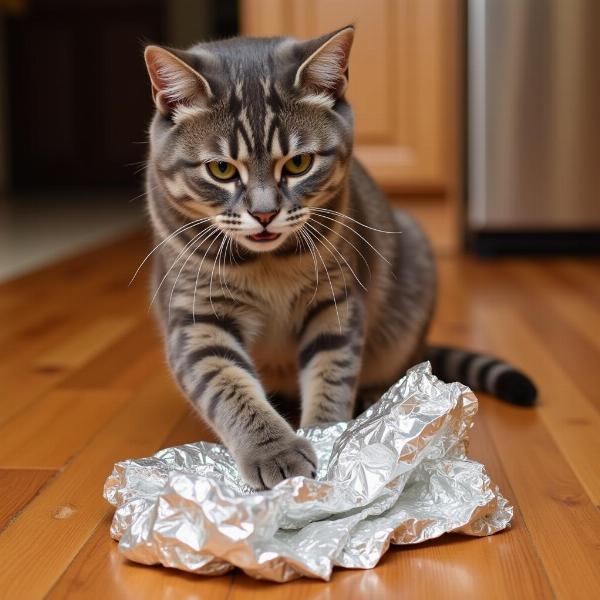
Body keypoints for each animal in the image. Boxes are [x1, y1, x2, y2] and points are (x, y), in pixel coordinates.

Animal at [143, 25, 536, 490]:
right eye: (221, 169)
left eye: (298, 163)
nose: (264, 213)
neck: (267, 264)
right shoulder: (196, 319)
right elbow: (228, 387)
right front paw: (275, 451)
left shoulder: (335, 302)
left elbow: (331, 373)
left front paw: (329, 436)